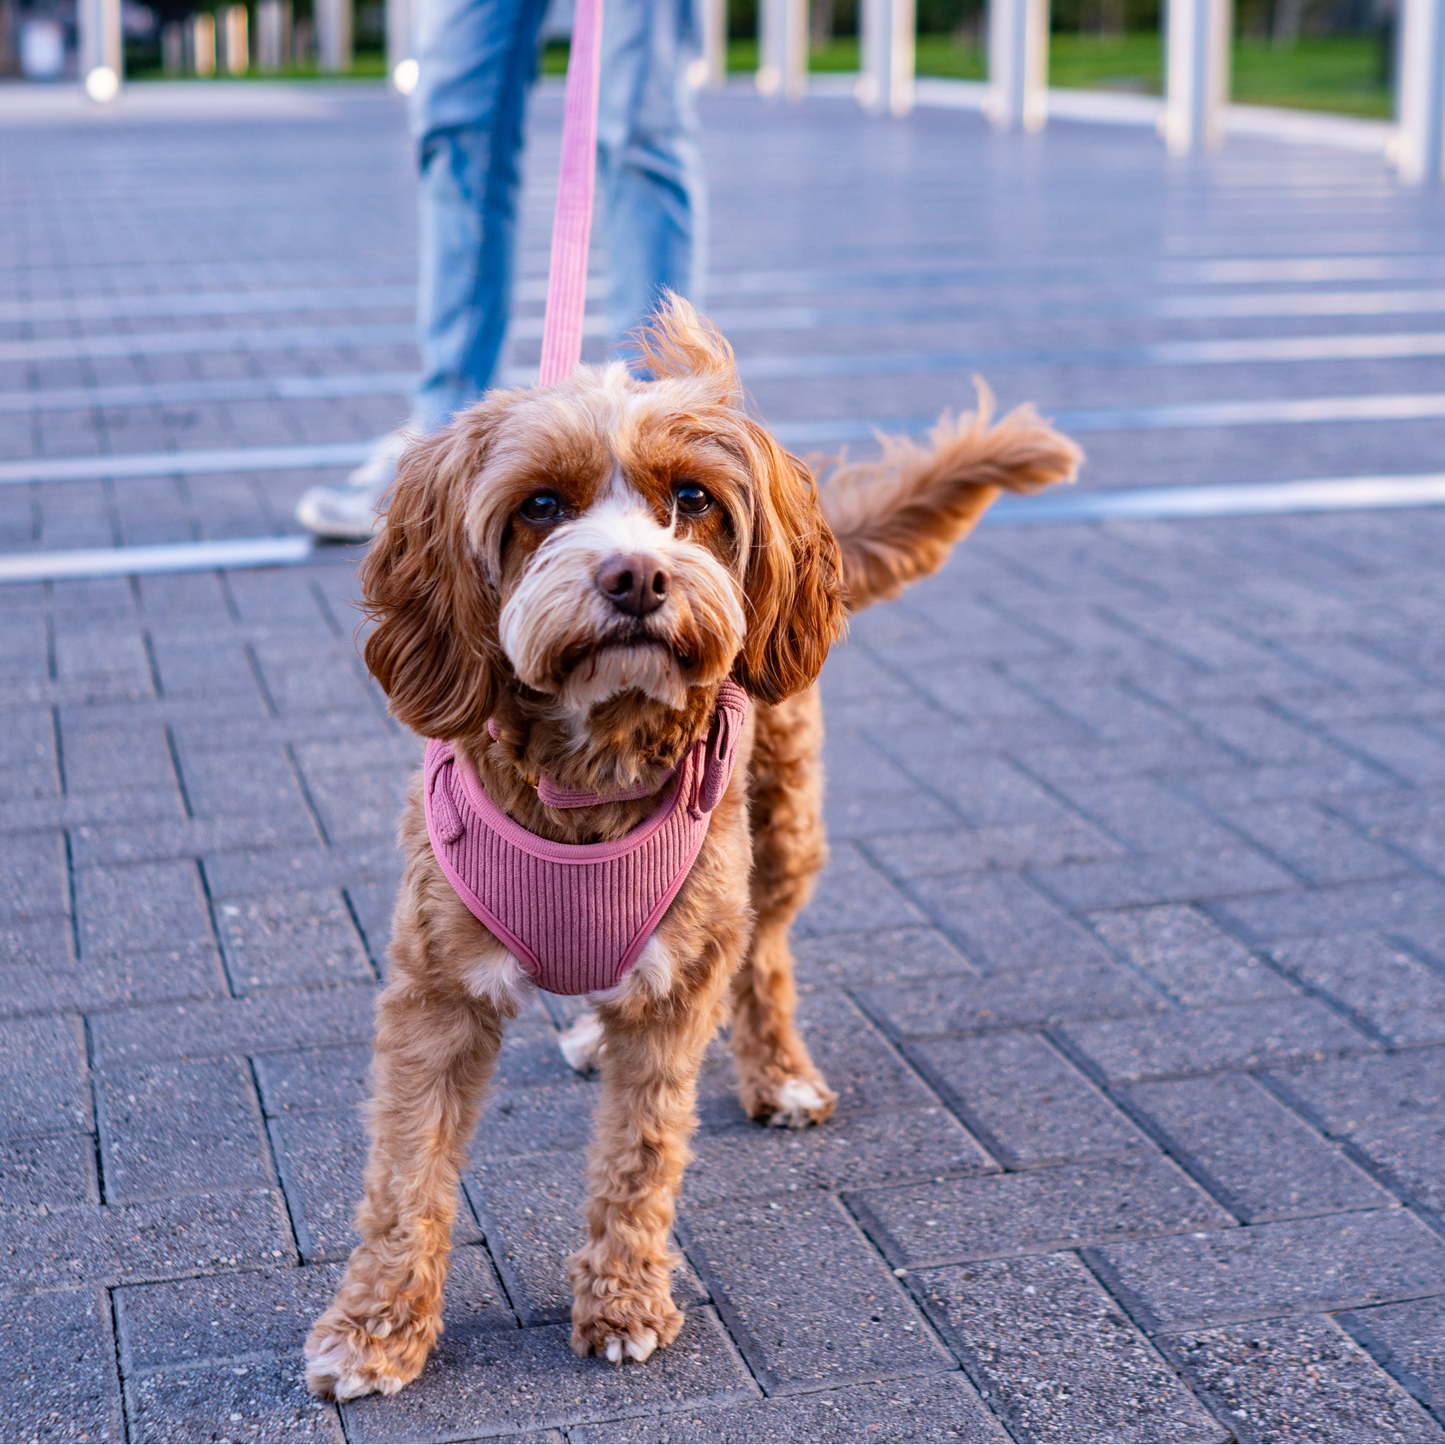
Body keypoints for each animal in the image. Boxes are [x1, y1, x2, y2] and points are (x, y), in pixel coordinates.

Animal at [302, 296, 1075, 1398]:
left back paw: (778, 1071)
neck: (591, 770)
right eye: (540, 504)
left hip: (780, 830)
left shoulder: (676, 988)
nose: (634, 574)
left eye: (693, 499)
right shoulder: (436, 993)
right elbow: (405, 1173)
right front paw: (373, 1328)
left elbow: (641, 1152)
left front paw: (623, 1301)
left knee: (766, 952)